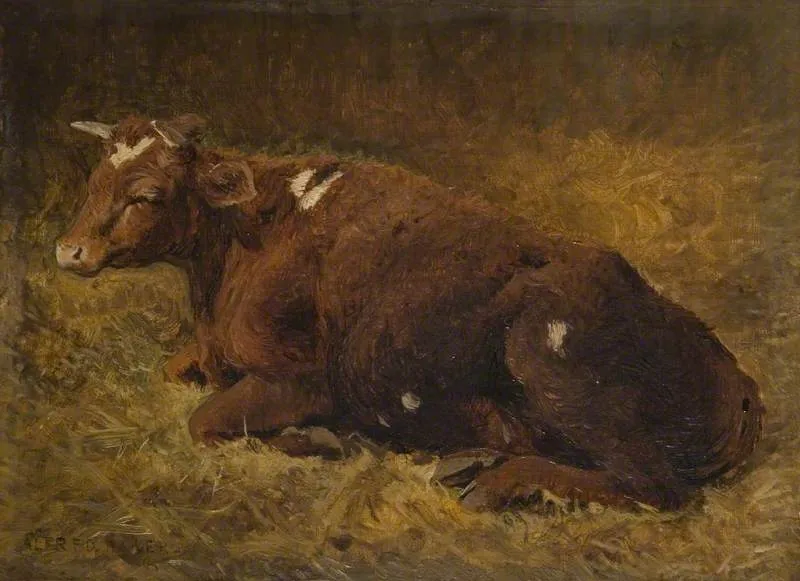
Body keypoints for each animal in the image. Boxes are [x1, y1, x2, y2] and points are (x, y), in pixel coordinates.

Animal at [56, 114, 764, 511]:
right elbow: (175, 374)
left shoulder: (301, 378)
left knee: (655, 486)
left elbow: (204, 422)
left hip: (548, 357)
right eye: (93, 184)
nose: (68, 250)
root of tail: (735, 376)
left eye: (147, 194)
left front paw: (327, 439)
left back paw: (499, 484)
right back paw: (470, 462)